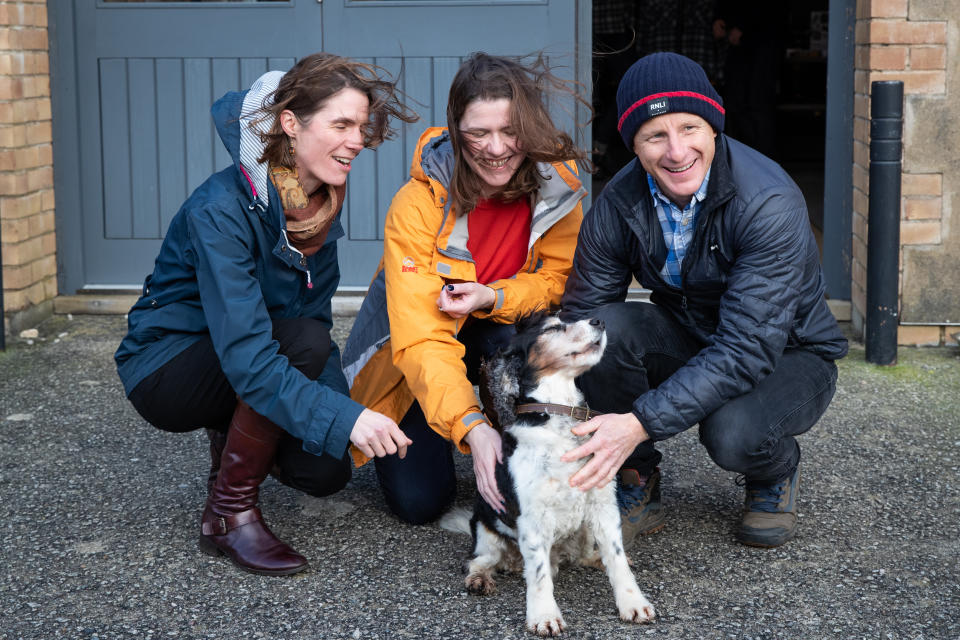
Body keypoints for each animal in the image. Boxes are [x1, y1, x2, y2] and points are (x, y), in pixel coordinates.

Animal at [452, 314, 652, 636]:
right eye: (552, 328)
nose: (599, 320)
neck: (559, 416)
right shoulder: (533, 519)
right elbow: (538, 574)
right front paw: (544, 616)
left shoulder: (603, 505)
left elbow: (617, 558)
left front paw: (633, 604)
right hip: (486, 533)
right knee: (475, 562)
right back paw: (480, 580)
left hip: (583, 531)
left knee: (584, 555)